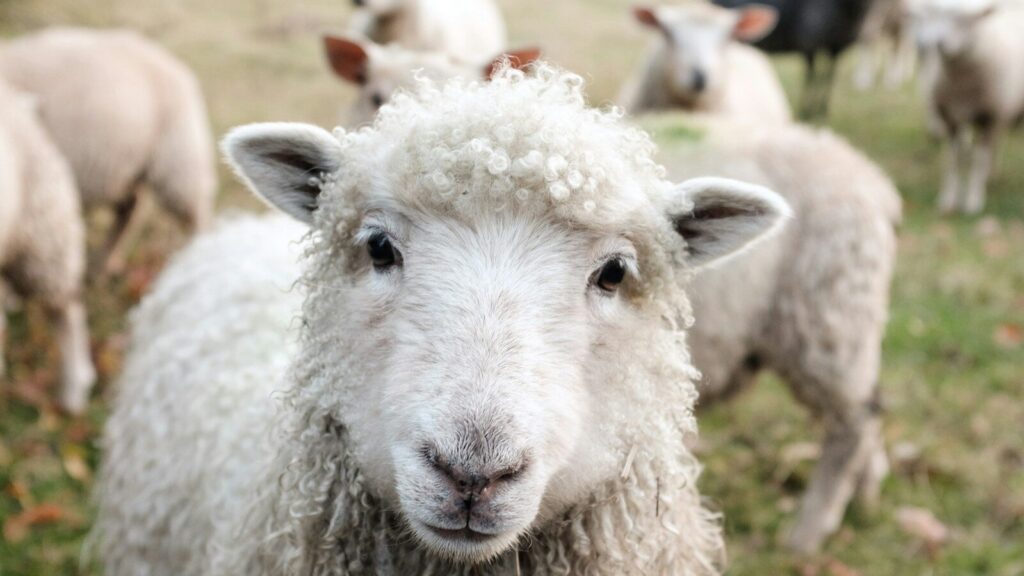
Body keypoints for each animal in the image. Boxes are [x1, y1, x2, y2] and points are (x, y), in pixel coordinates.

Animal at [0, 27, 217, 273]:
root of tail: (174, 64)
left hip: (179, 158)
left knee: (196, 213)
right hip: (125, 167)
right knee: (130, 209)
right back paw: (104, 263)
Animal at [713, 0, 878, 118]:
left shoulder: (837, 48)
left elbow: (829, 76)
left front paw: (823, 109)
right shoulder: (809, 44)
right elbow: (812, 76)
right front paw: (807, 110)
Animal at [905, 0, 1024, 214]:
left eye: (967, 19)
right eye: (937, 14)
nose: (938, 44)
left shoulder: (988, 117)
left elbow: (979, 160)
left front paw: (973, 201)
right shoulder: (950, 118)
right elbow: (953, 160)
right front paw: (948, 199)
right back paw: (991, 174)